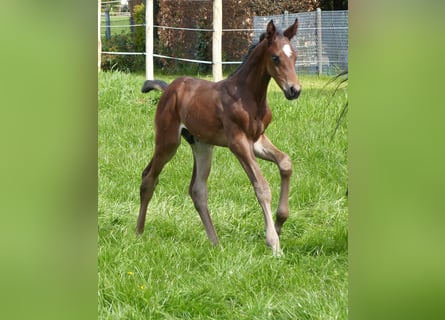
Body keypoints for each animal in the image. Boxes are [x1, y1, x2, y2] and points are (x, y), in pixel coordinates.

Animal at [136, 19, 302, 255]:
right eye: (275, 57)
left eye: (294, 56)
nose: (294, 90)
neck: (249, 95)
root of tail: (169, 89)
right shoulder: (238, 142)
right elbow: (261, 186)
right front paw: (274, 243)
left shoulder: (257, 140)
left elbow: (285, 162)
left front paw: (280, 222)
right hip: (168, 142)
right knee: (149, 177)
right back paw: (138, 232)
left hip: (202, 145)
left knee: (197, 190)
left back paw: (216, 244)